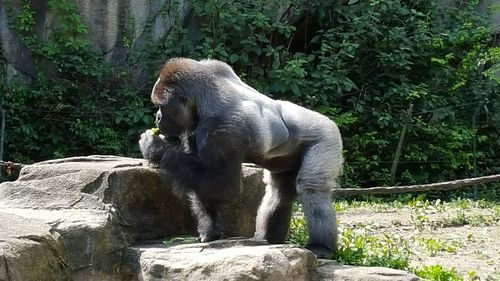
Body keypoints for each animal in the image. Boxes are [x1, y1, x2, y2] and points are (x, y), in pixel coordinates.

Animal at [141, 58, 344, 258]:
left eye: (162, 107)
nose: (157, 117)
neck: (203, 99)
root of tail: (331, 122)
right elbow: (200, 181)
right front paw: (209, 230)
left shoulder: (222, 129)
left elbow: (224, 186)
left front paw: (155, 147)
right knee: (279, 192)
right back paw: (267, 238)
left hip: (327, 136)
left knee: (312, 188)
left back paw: (321, 247)